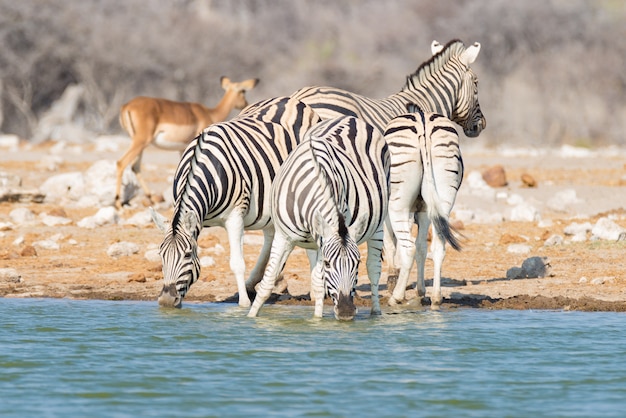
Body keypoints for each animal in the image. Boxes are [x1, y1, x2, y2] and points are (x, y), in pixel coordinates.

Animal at [149, 96, 320, 308]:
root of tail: (291, 100)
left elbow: (237, 263)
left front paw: (244, 303)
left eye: (188, 254)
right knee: (271, 236)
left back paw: (313, 291)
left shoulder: (235, 216)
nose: (166, 301)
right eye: (161, 254)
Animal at [245, 116, 388, 318]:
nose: (346, 311)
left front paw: (318, 321)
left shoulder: (325, 239)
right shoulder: (284, 236)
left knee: (374, 269)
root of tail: (350, 117)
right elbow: (268, 282)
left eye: (356, 263)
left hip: (379, 224)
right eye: (328, 264)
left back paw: (376, 314)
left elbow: (321, 286)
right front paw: (251, 317)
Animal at [380, 104, 464, 306]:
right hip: (444, 194)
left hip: (398, 204)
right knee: (439, 246)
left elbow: (391, 244)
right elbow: (422, 247)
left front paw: (394, 282)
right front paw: (420, 291)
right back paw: (436, 297)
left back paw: (396, 297)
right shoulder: (424, 210)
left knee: (408, 248)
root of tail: (422, 123)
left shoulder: (388, 215)